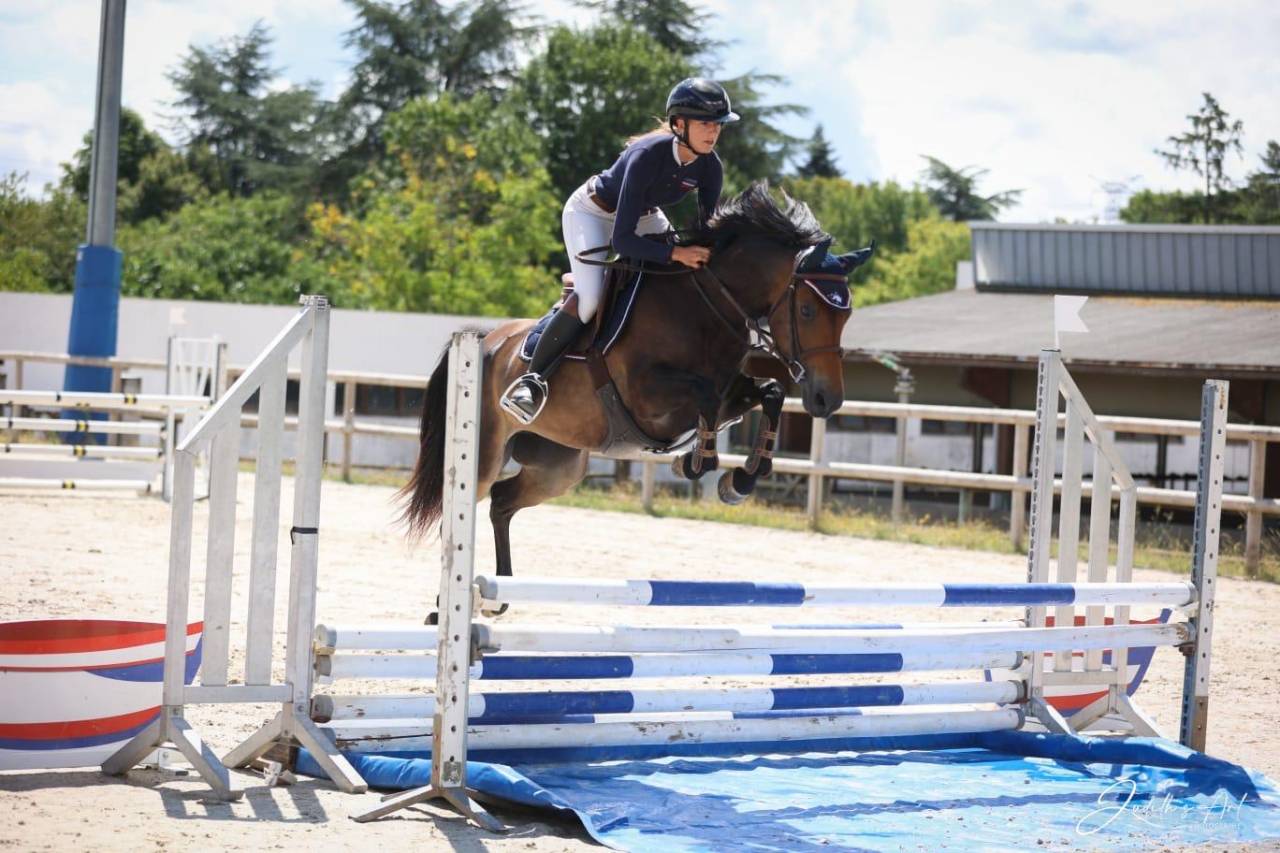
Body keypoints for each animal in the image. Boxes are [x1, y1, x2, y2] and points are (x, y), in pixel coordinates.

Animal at [400, 181, 871, 579]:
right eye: (807, 311)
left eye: (846, 314)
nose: (827, 400)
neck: (709, 303)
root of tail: (486, 340)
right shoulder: (648, 398)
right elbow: (705, 396)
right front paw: (697, 461)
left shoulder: (731, 389)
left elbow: (769, 394)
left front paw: (739, 481)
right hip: (485, 454)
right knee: (461, 511)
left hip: (560, 464)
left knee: (501, 502)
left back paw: (495, 596)